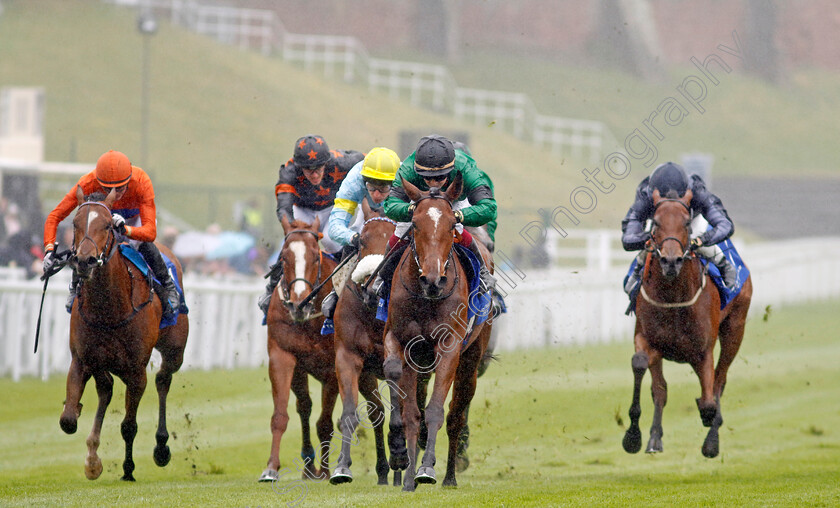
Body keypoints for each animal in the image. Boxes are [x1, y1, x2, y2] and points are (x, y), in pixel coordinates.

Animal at [59, 189, 189, 482]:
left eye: (107, 225)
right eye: (75, 223)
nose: (84, 260)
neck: (108, 308)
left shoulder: (136, 371)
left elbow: (129, 425)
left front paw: (128, 469)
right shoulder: (82, 359)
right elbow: (68, 420)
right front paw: (93, 461)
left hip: (175, 350)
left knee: (163, 379)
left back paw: (161, 447)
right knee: (106, 388)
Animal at [260, 215, 342, 484]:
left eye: (316, 256)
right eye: (284, 257)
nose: (299, 303)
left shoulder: (333, 368)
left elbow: (325, 423)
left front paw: (326, 471)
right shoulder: (283, 357)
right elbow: (281, 415)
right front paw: (271, 468)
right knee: (304, 406)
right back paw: (308, 464)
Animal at [380, 176, 492, 492]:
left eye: (452, 225)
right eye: (415, 224)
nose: (433, 280)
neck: (426, 298)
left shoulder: (450, 346)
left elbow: (434, 411)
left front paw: (427, 468)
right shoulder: (398, 338)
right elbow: (403, 397)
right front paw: (400, 457)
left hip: (471, 359)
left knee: (455, 415)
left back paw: (449, 477)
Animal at [624, 189, 756, 458]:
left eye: (686, 223)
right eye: (656, 222)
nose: (670, 261)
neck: (673, 296)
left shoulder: (703, 351)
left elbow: (709, 400)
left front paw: (709, 424)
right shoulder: (648, 340)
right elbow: (644, 369)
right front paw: (633, 437)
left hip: (735, 329)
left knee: (719, 380)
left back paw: (712, 439)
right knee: (661, 389)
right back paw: (654, 439)